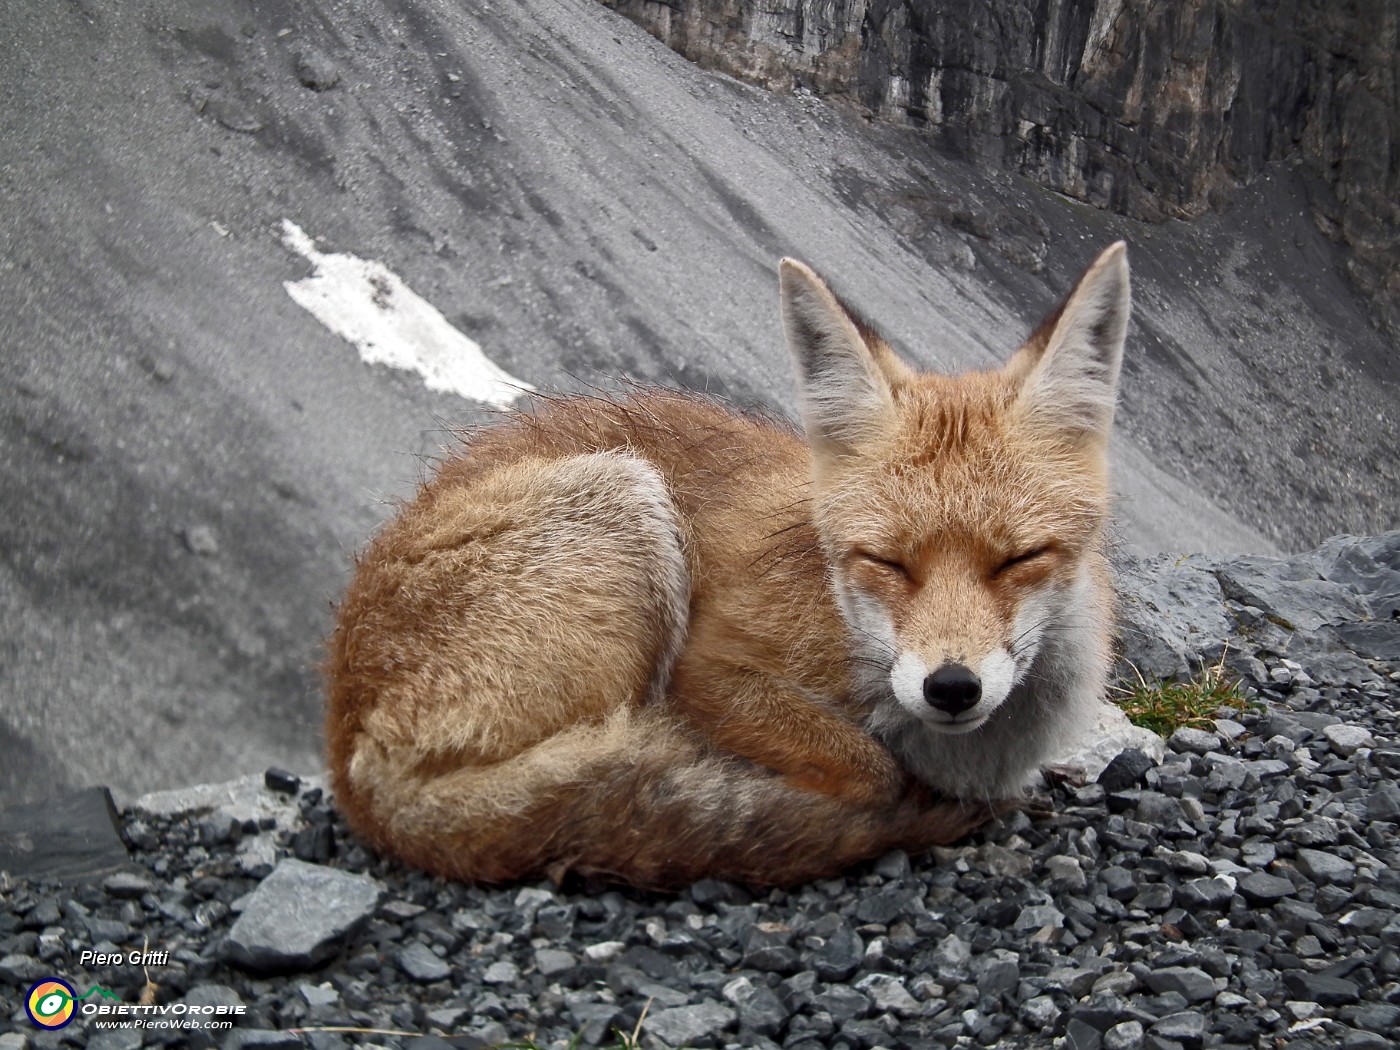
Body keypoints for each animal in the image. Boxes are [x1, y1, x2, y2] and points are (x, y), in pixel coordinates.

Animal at [322, 240, 1131, 890]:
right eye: (887, 562)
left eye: (1020, 558)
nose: (953, 687)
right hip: (627, 498)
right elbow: (872, 769)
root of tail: (352, 761)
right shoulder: (709, 670)